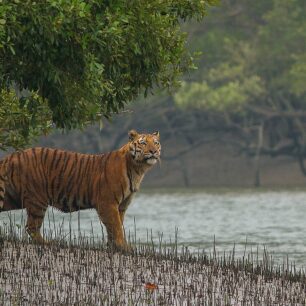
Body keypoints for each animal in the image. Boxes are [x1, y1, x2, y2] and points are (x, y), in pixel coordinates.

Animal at [0, 129, 161, 251]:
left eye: (156, 142)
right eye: (143, 142)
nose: (153, 151)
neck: (138, 169)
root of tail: (12, 155)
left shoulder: (121, 206)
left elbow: (116, 226)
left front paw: (113, 246)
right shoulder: (107, 203)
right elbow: (116, 226)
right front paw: (124, 247)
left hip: (11, 198)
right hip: (37, 200)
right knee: (32, 227)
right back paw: (49, 243)